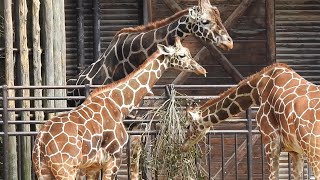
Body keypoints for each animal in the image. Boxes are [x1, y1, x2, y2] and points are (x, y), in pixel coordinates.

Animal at [33, 39, 208, 180]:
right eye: (182, 55)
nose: (202, 70)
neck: (118, 105)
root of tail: (41, 143)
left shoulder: (93, 165)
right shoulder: (115, 157)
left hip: (43, 170)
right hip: (66, 169)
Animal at [181, 62, 320, 179]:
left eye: (187, 126)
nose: (183, 146)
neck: (257, 88)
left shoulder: (270, 141)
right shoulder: (295, 151)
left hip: (313, 152)